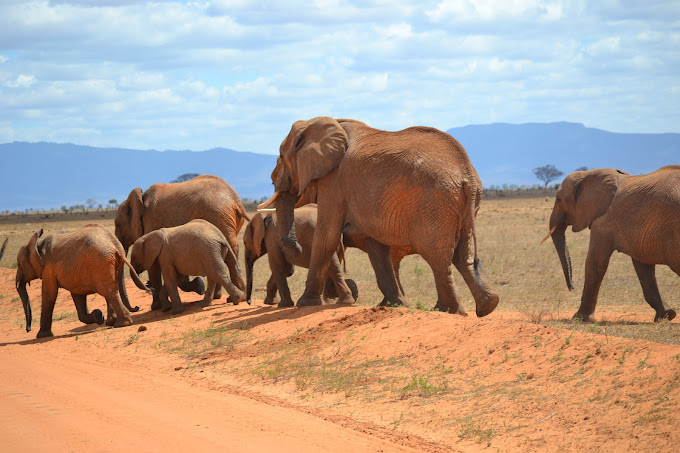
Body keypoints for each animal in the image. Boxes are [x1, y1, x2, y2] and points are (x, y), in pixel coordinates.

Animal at [14, 224, 150, 338]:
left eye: (19, 264)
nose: (28, 330)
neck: (37, 243)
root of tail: (115, 245)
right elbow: (77, 294)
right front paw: (98, 316)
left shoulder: (48, 268)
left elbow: (49, 295)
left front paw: (41, 336)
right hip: (110, 263)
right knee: (110, 290)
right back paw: (110, 322)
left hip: (101, 261)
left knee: (108, 291)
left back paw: (121, 323)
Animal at [115, 175, 250, 308]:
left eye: (117, 225)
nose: (136, 308)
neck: (139, 199)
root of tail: (235, 200)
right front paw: (199, 286)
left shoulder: (151, 222)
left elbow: (154, 266)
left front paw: (156, 307)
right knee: (231, 254)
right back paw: (229, 297)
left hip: (218, 216)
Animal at [258, 116, 500, 314]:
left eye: (281, 156)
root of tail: (467, 174)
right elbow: (375, 246)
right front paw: (392, 305)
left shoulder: (334, 181)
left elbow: (326, 237)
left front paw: (305, 304)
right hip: (464, 206)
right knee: (462, 254)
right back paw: (486, 307)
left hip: (435, 204)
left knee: (437, 256)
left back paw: (445, 310)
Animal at [548, 166, 680, 322]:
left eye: (559, 200)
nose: (572, 288)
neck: (588, 174)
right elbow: (643, 267)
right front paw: (667, 315)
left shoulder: (603, 222)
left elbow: (595, 263)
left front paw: (580, 319)